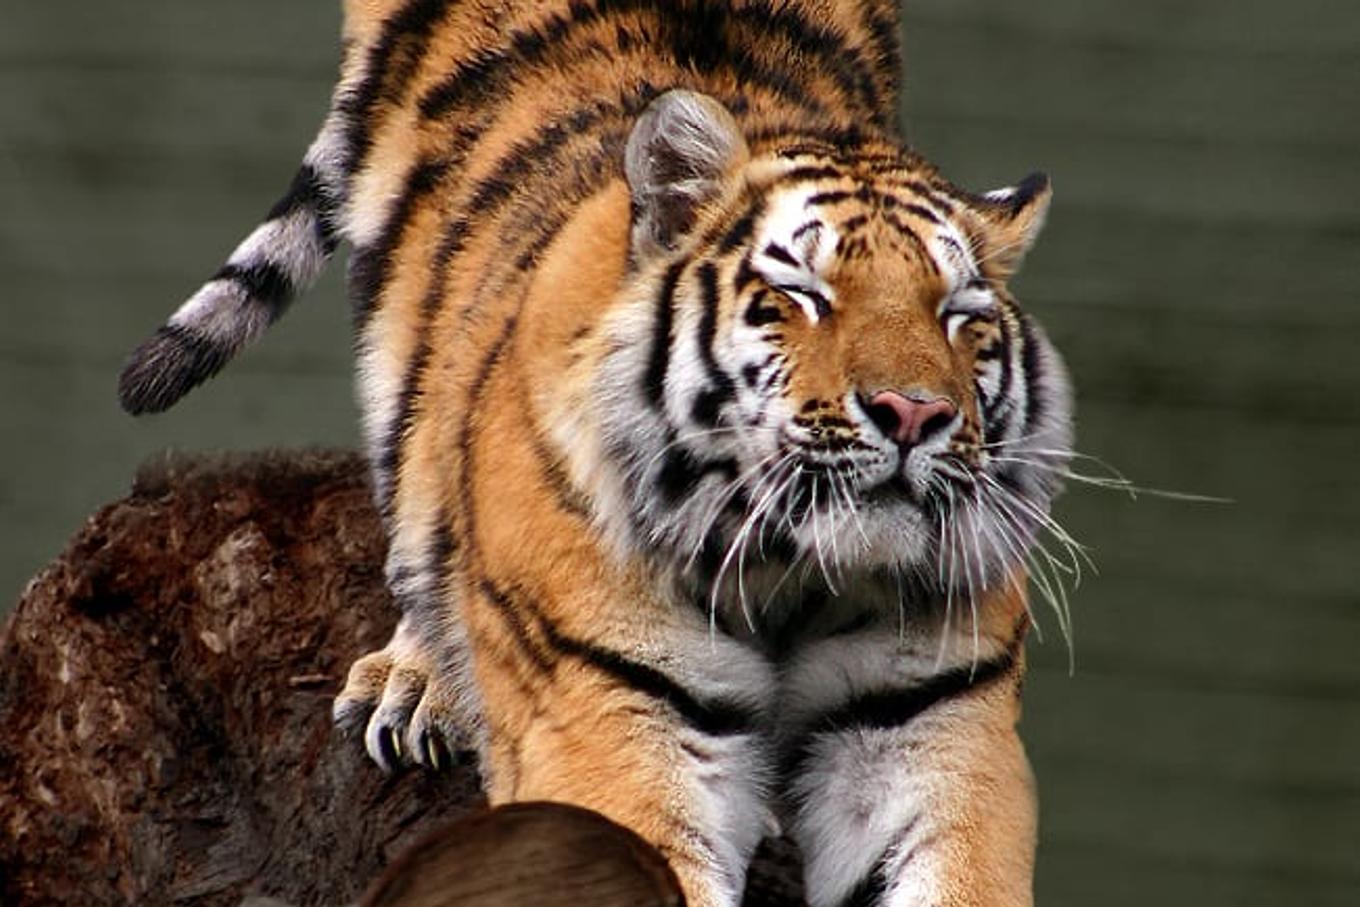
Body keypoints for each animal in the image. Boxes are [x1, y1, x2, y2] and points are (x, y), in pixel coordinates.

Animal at [118, 2, 1073, 905]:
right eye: (802, 294)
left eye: (958, 315)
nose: (914, 413)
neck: (793, 571)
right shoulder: (611, 717)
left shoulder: (935, 727)